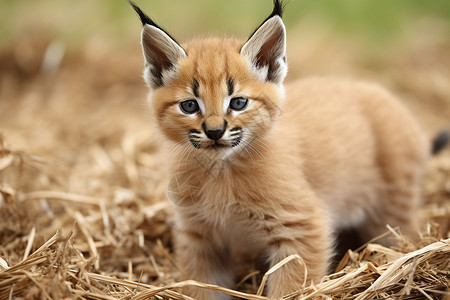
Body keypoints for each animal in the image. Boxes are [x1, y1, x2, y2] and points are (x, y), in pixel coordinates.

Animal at [130, 1, 432, 298]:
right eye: (190, 106)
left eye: (238, 103)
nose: (215, 132)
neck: (221, 169)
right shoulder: (199, 235)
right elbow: (201, 287)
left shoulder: (301, 227)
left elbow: (290, 287)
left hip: (391, 209)